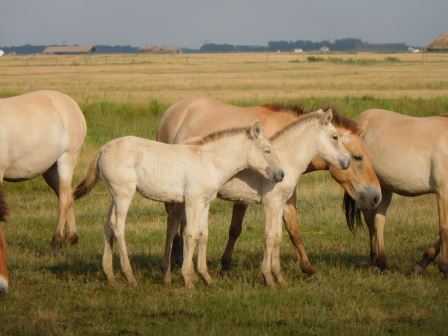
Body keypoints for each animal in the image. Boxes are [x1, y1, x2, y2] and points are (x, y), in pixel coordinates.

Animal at [0, 90, 86, 248]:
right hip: (51, 170)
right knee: (67, 195)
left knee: (64, 199)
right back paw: (72, 237)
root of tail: (71, 102)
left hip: (67, 159)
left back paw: (57, 241)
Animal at [73, 122, 286, 288]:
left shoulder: (205, 202)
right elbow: (190, 234)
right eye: (267, 150)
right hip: (124, 194)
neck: (209, 162)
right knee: (118, 226)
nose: (281, 175)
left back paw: (110, 275)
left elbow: (203, 235)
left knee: (107, 224)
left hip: (114, 196)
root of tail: (103, 149)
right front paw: (188, 279)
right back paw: (129, 276)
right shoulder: (192, 200)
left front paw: (206, 278)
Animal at [156, 98, 380, 280]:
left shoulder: (285, 198)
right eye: (358, 157)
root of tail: (173, 110)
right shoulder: (249, 197)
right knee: (174, 224)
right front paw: (227, 267)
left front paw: (307, 268)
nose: (376, 197)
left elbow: (292, 230)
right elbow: (236, 229)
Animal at [338, 109, 448, 278]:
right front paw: (444, 267)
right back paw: (379, 262)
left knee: (377, 220)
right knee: (373, 221)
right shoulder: (443, 191)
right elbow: (444, 228)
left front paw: (420, 265)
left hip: (384, 189)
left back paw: (378, 262)